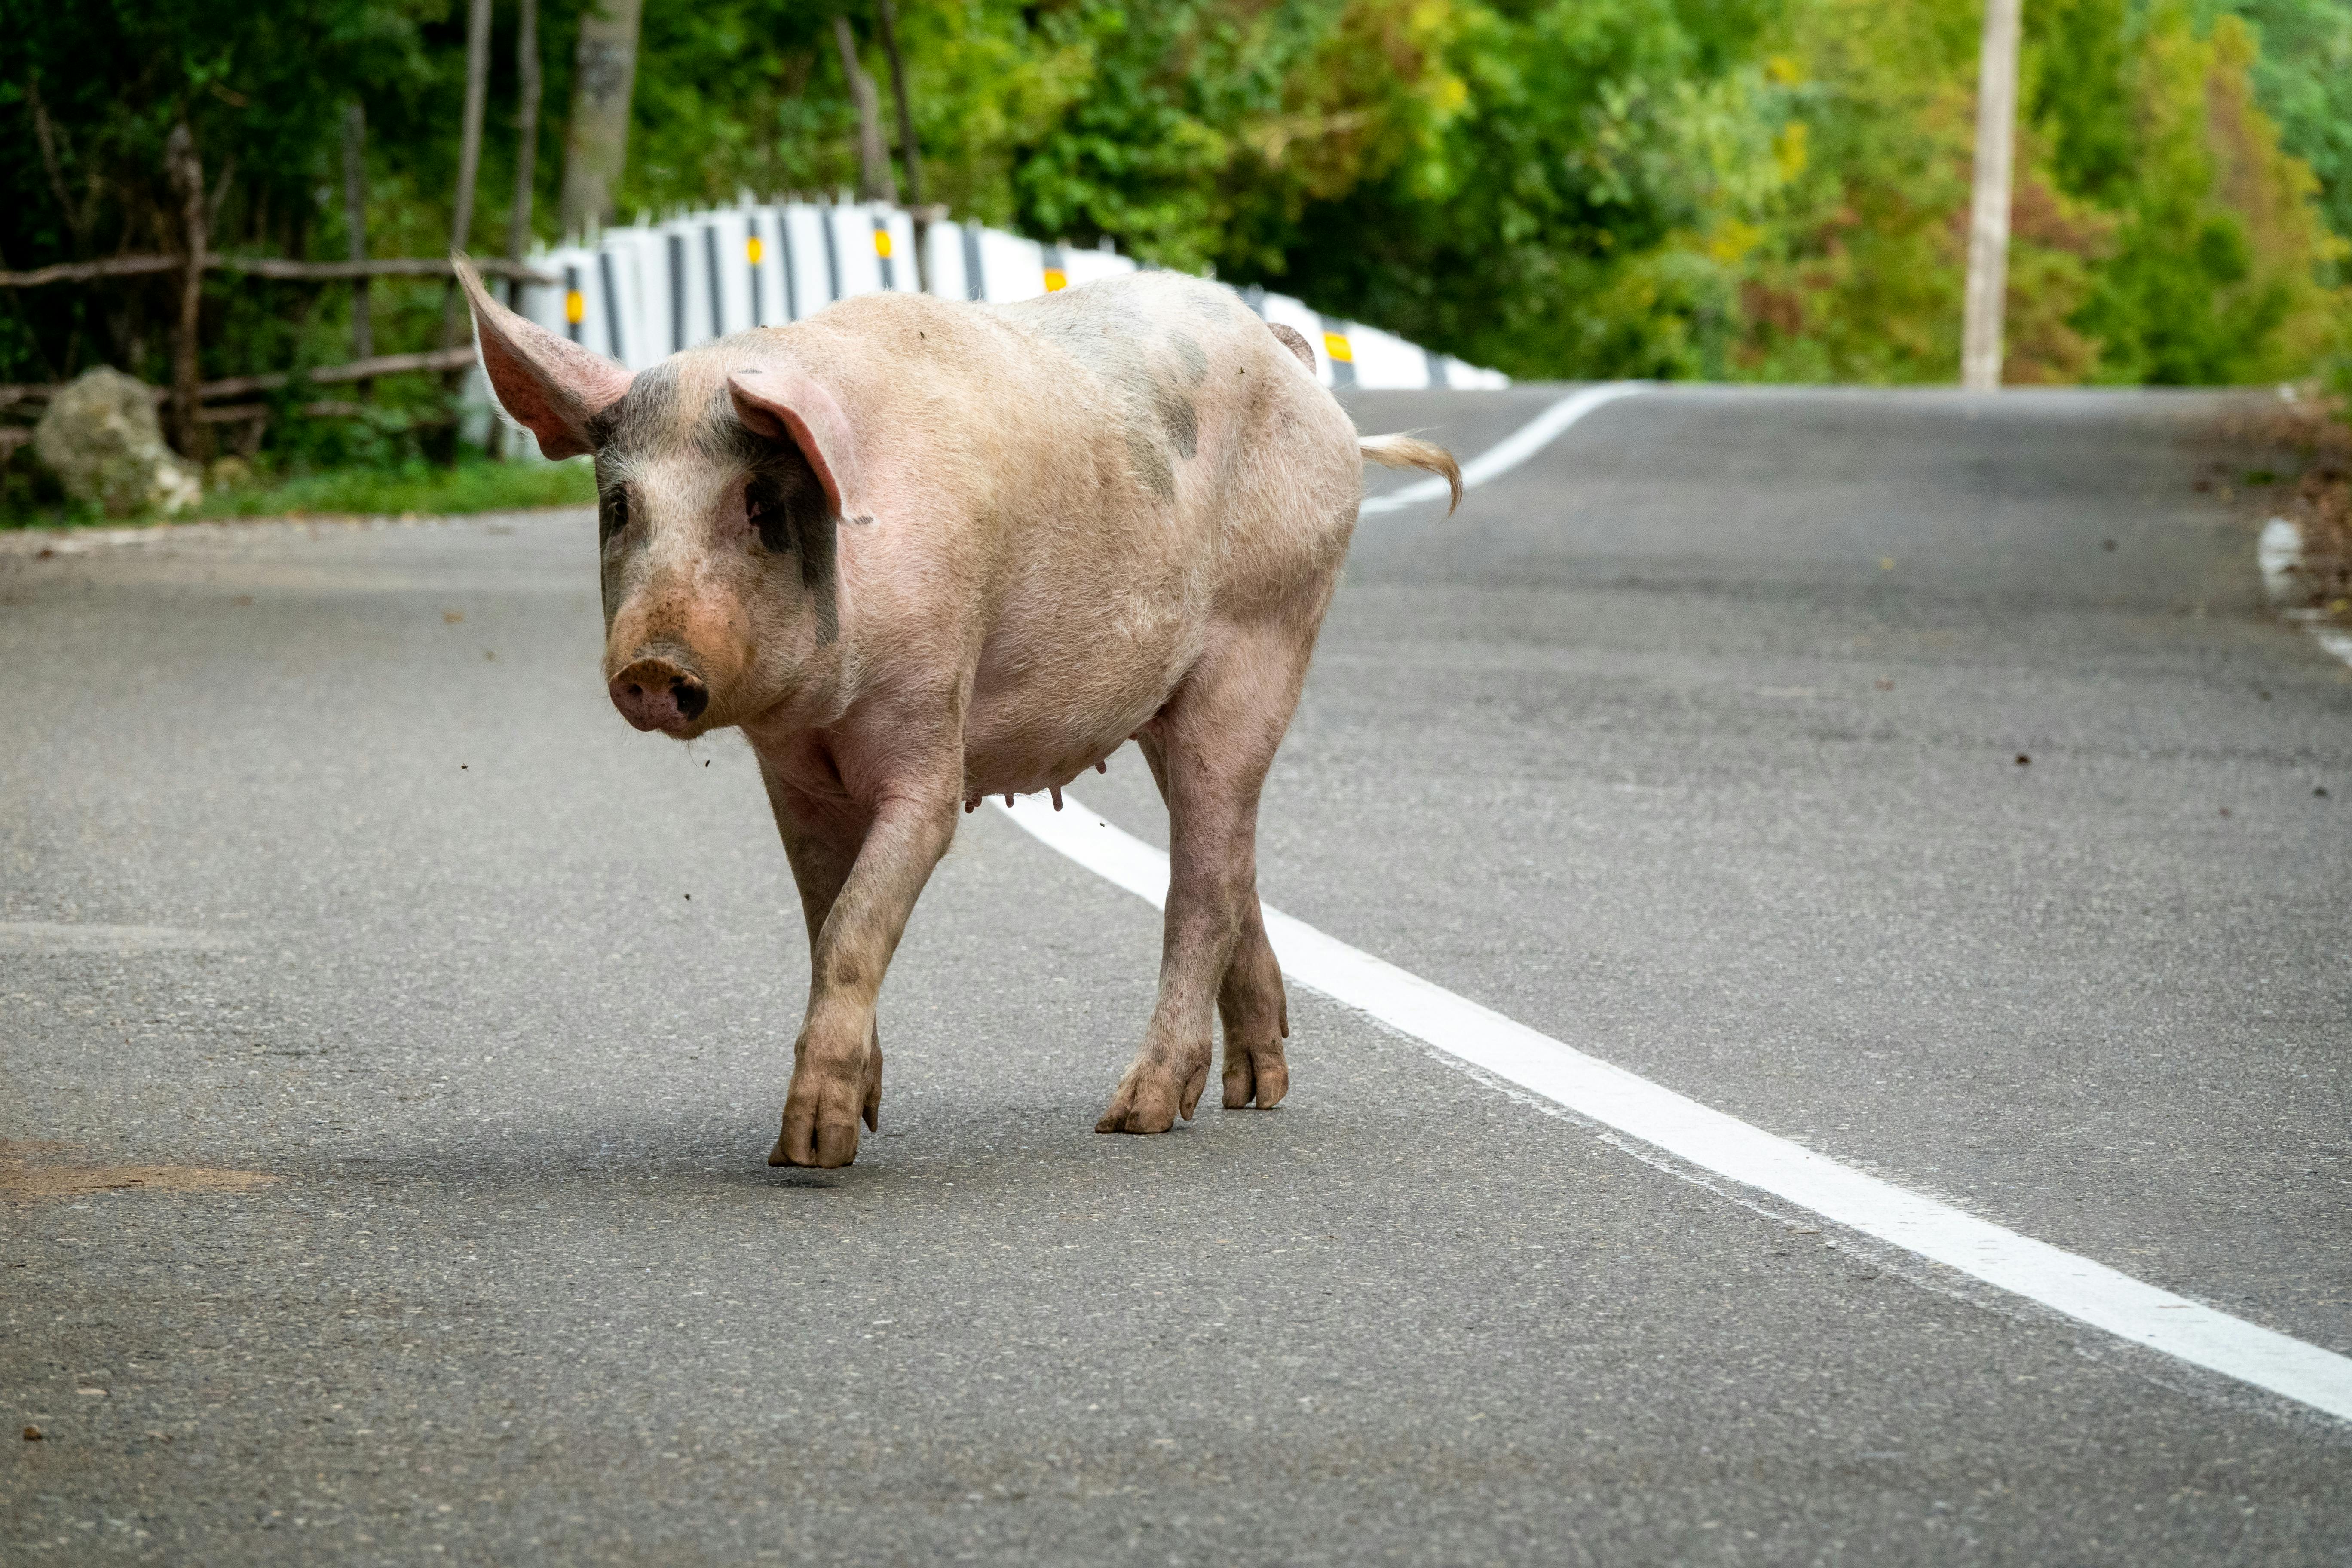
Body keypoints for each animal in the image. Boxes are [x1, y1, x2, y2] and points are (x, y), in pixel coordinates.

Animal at [454, 257, 1449, 1166]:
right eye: (621, 506)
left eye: (760, 503)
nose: (655, 665)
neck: (827, 700)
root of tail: (1286, 356)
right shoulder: (791, 775)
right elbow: (823, 919)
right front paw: (855, 1121)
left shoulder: (931, 723)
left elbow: (859, 919)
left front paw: (809, 1152)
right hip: (1171, 698)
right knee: (1232, 857)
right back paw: (1254, 1089)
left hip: (1263, 639)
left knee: (1202, 880)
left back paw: (1134, 1116)